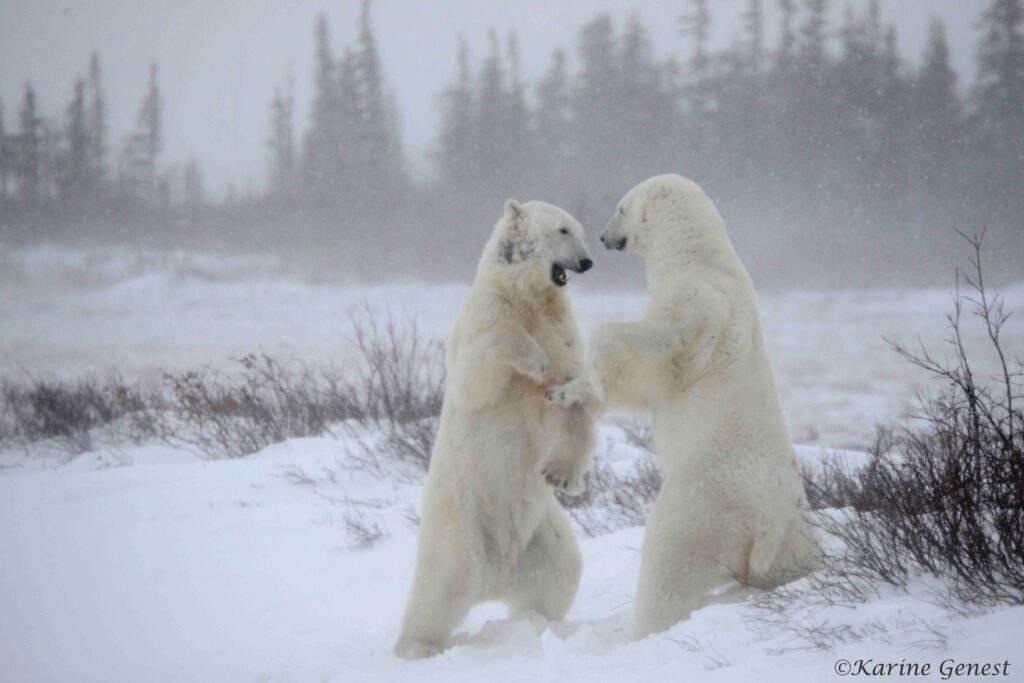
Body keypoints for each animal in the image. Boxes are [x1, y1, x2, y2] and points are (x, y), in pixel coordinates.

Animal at [393, 199, 597, 659]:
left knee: (559, 574)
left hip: (541, 537)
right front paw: (534, 360)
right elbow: (479, 375)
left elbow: (573, 398)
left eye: (580, 230)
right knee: (441, 584)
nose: (587, 261)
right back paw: (416, 646)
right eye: (562, 230)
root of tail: (496, 576)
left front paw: (561, 474)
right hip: (461, 522)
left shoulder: (563, 332)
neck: (529, 297)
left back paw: (538, 624)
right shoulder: (486, 315)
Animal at [546, 174, 821, 639]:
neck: (699, 255)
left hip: (700, 507)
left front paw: (578, 382)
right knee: (798, 562)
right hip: (796, 531)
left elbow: (656, 348)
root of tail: (766, 523)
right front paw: (564, 391)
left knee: (667, 566)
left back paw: (643, 630)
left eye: (620, 208)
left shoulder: (694, 302)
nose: (603, 237)